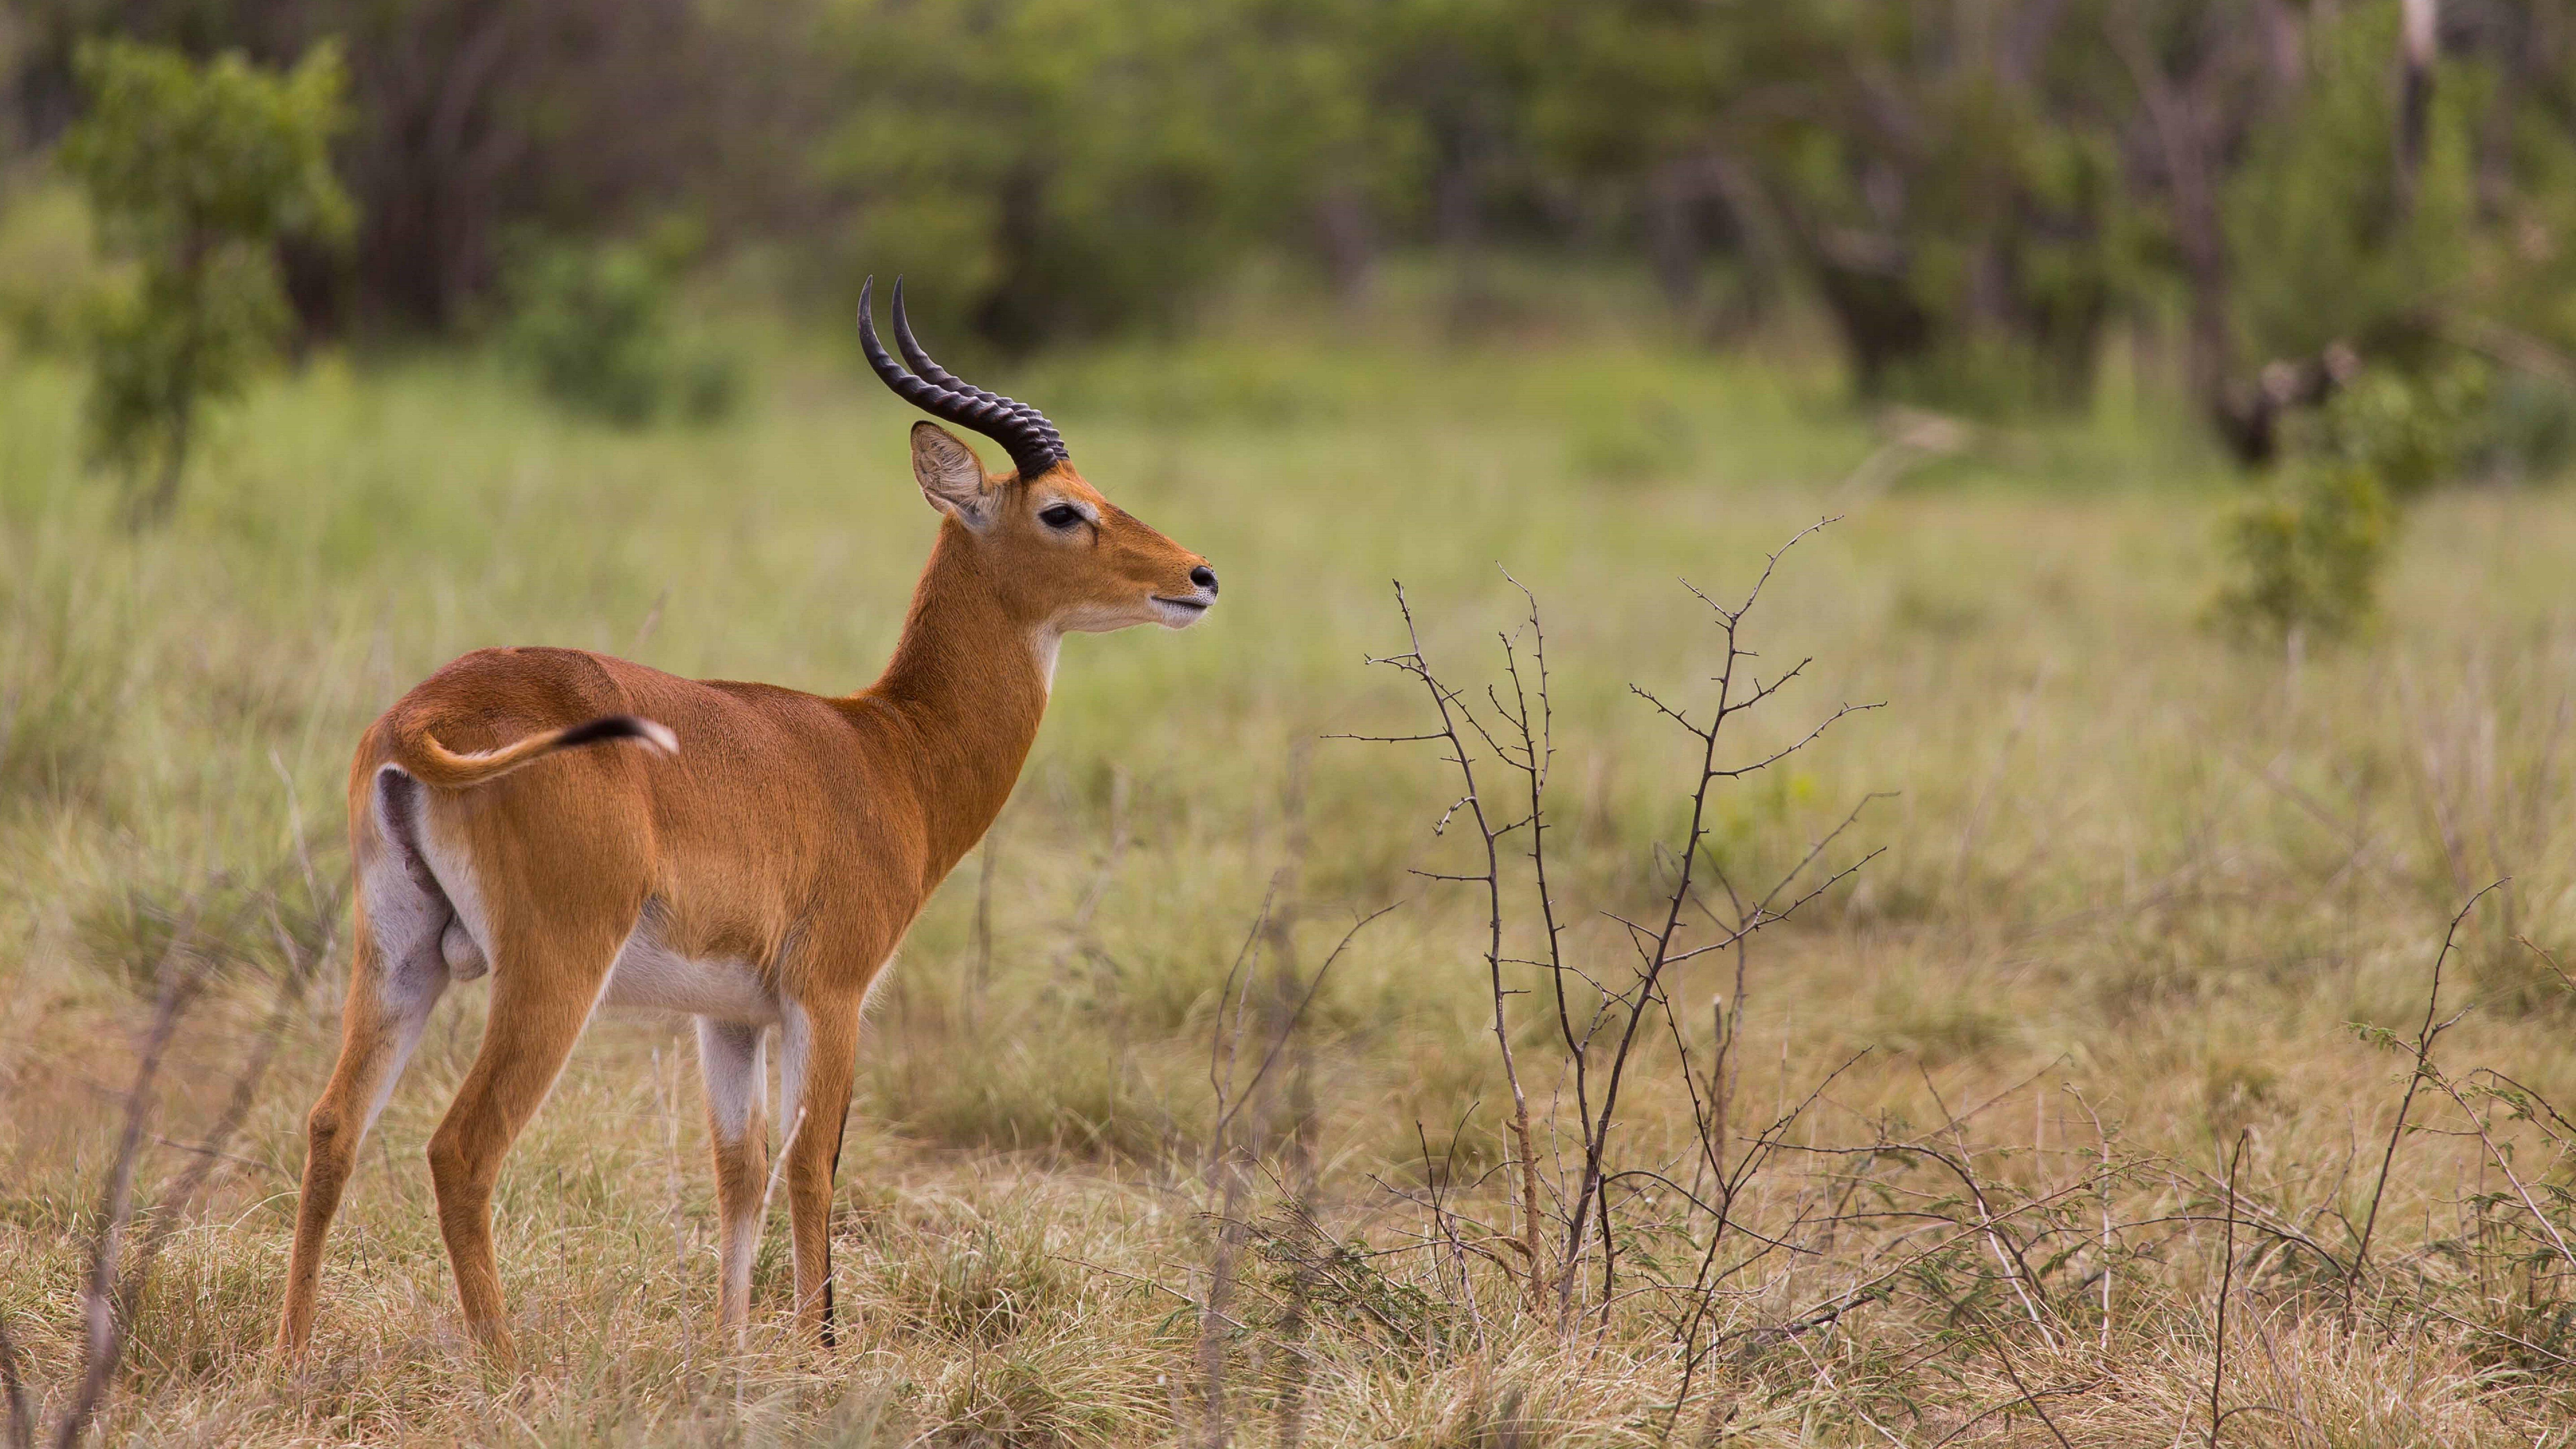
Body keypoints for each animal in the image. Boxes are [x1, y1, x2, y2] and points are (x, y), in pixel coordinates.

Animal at [272, 280, 1216, 1351]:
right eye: (1064, 510)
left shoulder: (728, 1018)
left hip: (399, 954)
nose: (1199, 576)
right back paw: (508, 1367)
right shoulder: (831, 997)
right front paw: (818, 1351)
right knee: (462, 1150)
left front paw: (732, 1353)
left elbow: (740, 1172)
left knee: (333, 1124)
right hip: (553, 969)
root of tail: (427, 715)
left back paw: (291, 1360)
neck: (888, 751)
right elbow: (812, 1166)